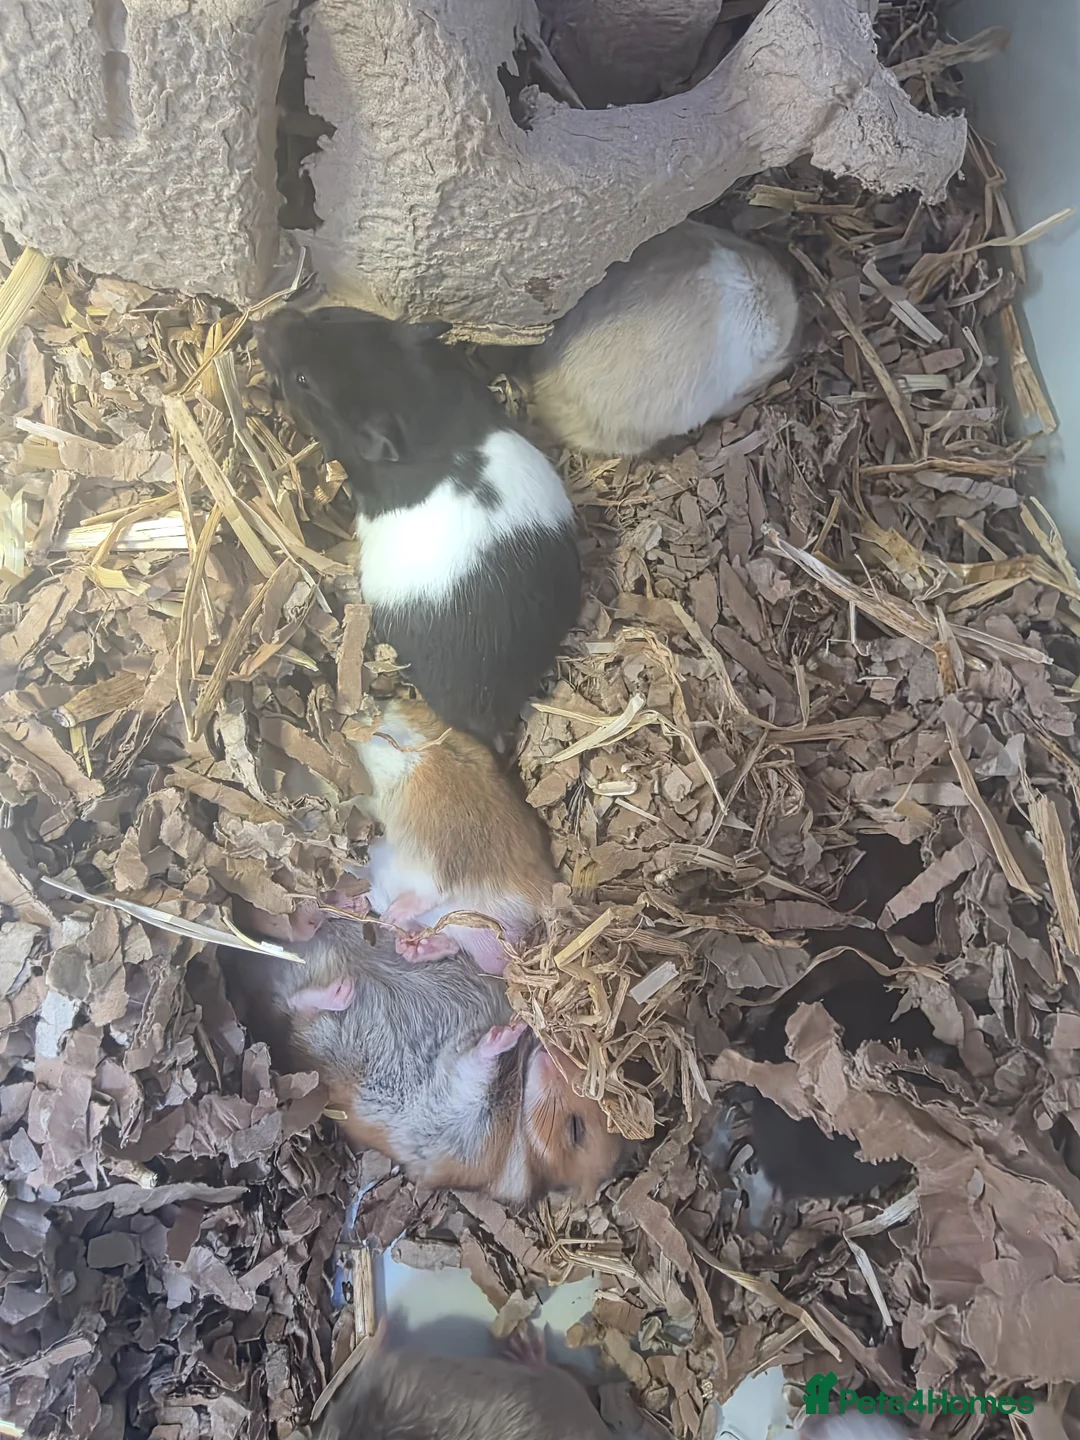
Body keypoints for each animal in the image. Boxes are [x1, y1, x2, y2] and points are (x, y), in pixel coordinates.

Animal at [226, 912, 624, 1205]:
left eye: (575, 1130)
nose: (550, 1051)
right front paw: (518, 1028)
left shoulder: (466, 1129)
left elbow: (473, 1066)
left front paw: (505, 1034)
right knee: (296, 1005)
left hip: (313, 1040)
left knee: (298, 1012)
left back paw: (341, 990)